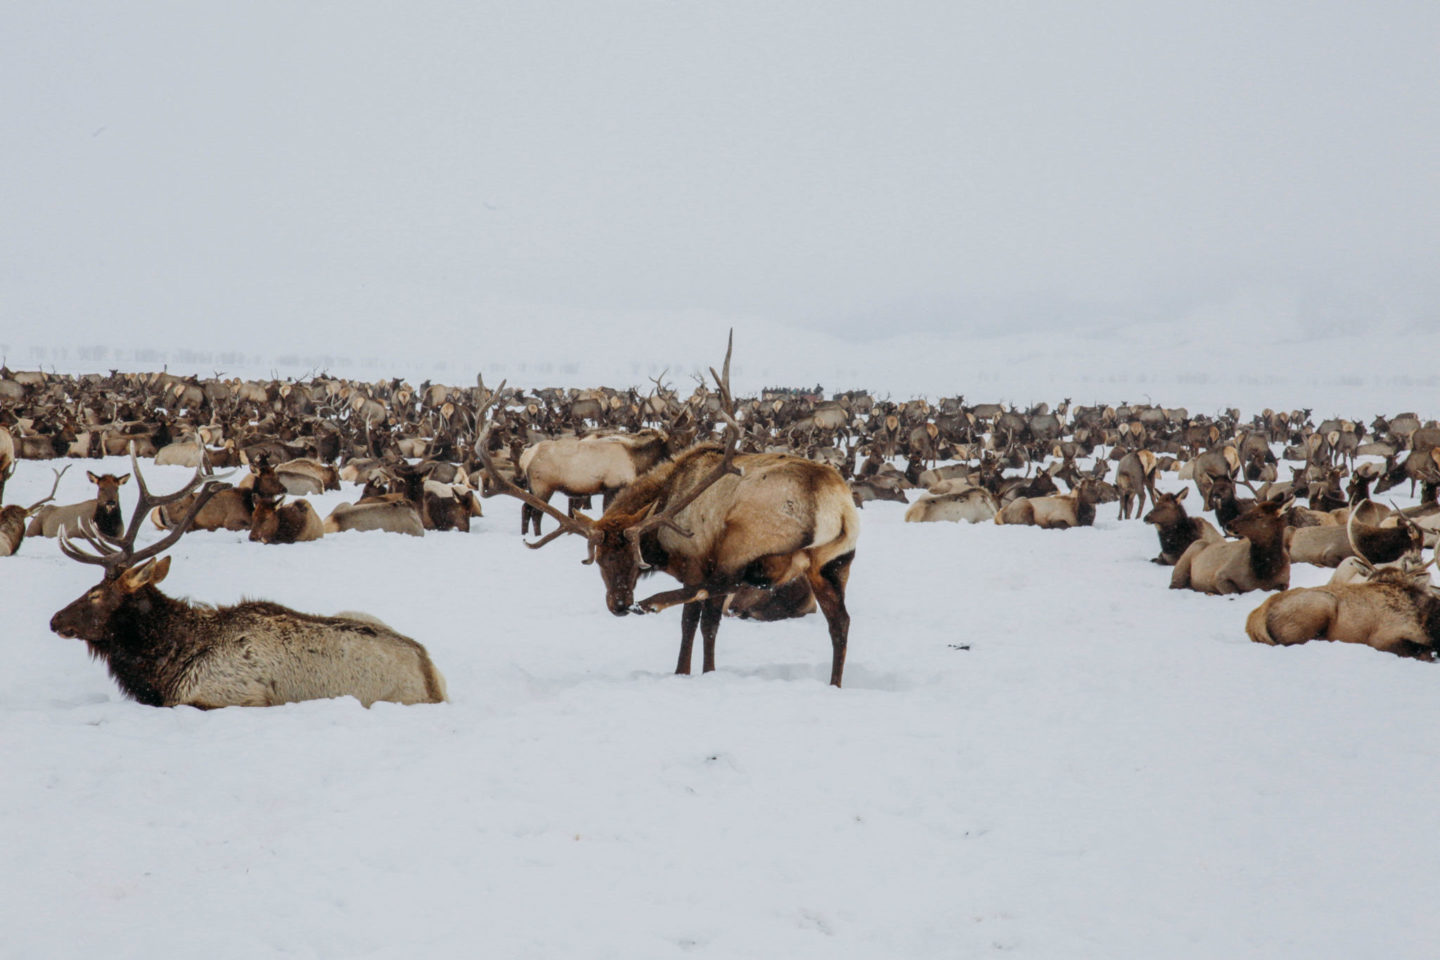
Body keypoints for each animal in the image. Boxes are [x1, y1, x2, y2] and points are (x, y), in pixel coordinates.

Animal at [478, 336, 860, 686]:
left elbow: (693, 623)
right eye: (600, 559)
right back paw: (834, 683)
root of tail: (834, 505)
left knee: (732, 583)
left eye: (634, 560)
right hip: (832, 564)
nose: (619, 604)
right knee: (840, 622)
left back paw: (652, 602)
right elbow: (710, 626)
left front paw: (683, 671)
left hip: (748, 546)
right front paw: (708, 670)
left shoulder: (696, 562)